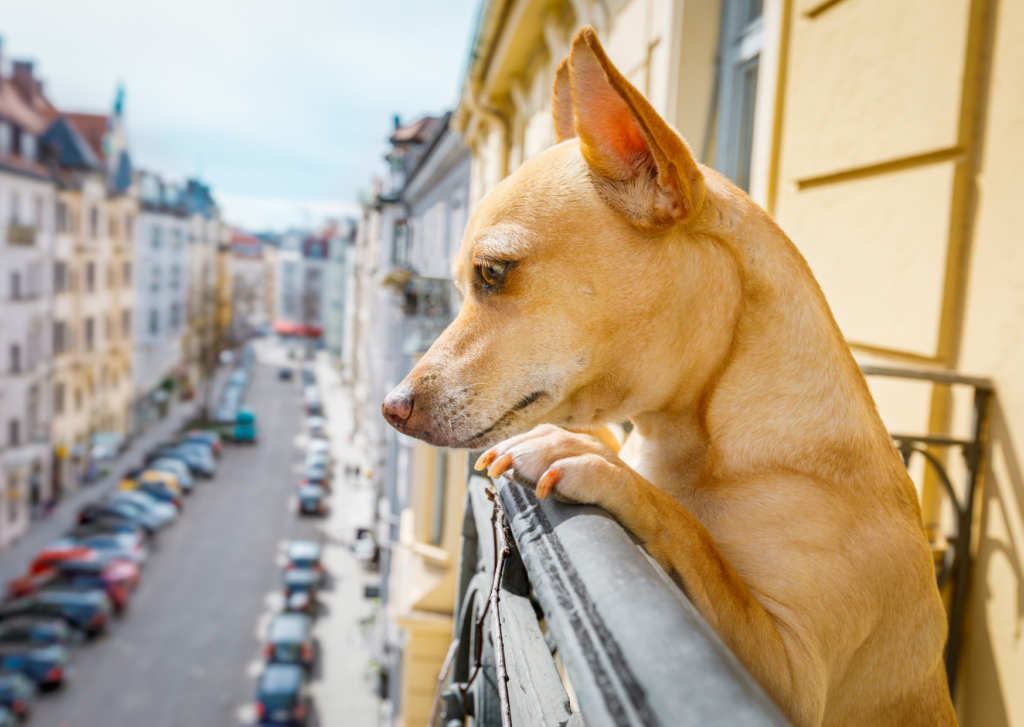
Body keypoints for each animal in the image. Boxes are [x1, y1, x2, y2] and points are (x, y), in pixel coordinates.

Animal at [380, 25, 954, 724]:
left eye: (492, 274)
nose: (390, 406)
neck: (697, 434)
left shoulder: (790, 677)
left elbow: (694, 539)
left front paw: (602, 466)